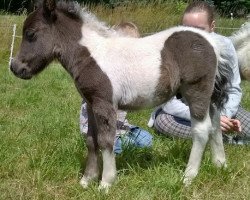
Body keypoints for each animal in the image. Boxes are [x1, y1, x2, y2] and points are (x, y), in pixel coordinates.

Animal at [10, 0, 228, 190]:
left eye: (30, 33)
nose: (15, 68)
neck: (91, 55)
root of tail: (211, 41)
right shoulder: (90, 103)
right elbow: (91, 140)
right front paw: (87, 180)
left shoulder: (104, 103)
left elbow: (106, 141)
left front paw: (106, 183)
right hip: (210, 96)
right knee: (216, 124)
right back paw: (220, 165)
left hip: (196, 91)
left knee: (201, 129)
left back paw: (188, 177)